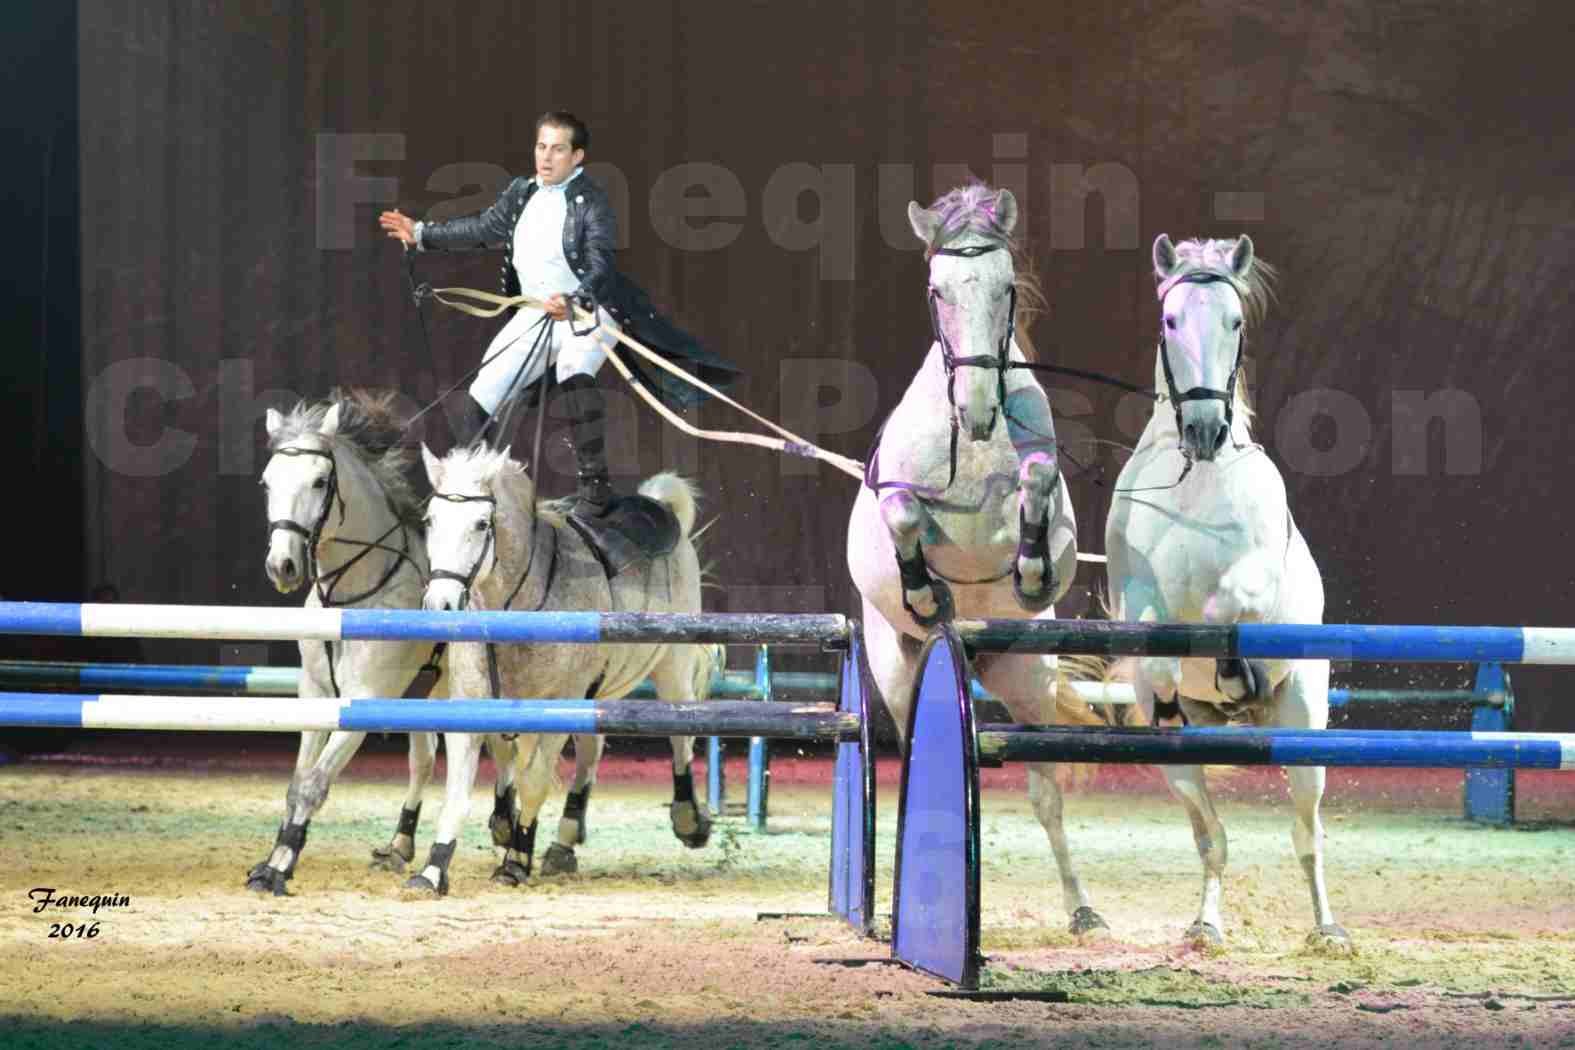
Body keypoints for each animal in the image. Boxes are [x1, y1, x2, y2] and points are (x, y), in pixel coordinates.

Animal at [252, 393, 535, 894]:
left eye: (320, 481)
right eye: (268, 482)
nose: (282, 565)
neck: (352, 593)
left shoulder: (366, 699)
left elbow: (313, 784)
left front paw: (281, 864)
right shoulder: (316, 696)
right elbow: (298, 782)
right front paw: (273, 859)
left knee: (504, 751)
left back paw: (511, 842)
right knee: (426, 760)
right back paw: (403, 843)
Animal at [415, 443, 718, 894]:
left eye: (482, 523)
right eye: (431, 520)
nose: (440, 604)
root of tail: (663, 506)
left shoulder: (560, 704)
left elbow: (535, 781)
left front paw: (516, 861)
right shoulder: (473, 702)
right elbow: (458, 792)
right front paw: (434, 868)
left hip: (670, 668)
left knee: (680, 736)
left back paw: (688, 819)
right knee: (583, 752)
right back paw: (561, 837)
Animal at [850, 184, 1108, 938]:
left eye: (1004, 287)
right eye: (937, 289)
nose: (976, 407)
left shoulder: (1045, 496)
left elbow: (1036, 486)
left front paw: (1027, 570)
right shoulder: (896, 496)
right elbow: (904, 515)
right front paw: (927, 593)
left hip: (1026, 675)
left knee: (1045, 788)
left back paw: (1083, 909)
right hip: (897, 667)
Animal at [1102, 236, 1348, 950]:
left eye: (1235, 322)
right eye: (1170, 320)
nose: (1205, 431)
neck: (1197, 483)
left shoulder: (1255, 583)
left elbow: (1226, 607)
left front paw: (1233, 669)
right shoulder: (1135, 597)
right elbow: (1155, 648)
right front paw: (1171, 687)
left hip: (1305, 726)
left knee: (1307, 832)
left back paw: (1328, 930)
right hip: (1181, 768)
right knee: (1211, 836)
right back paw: (1206, 924)